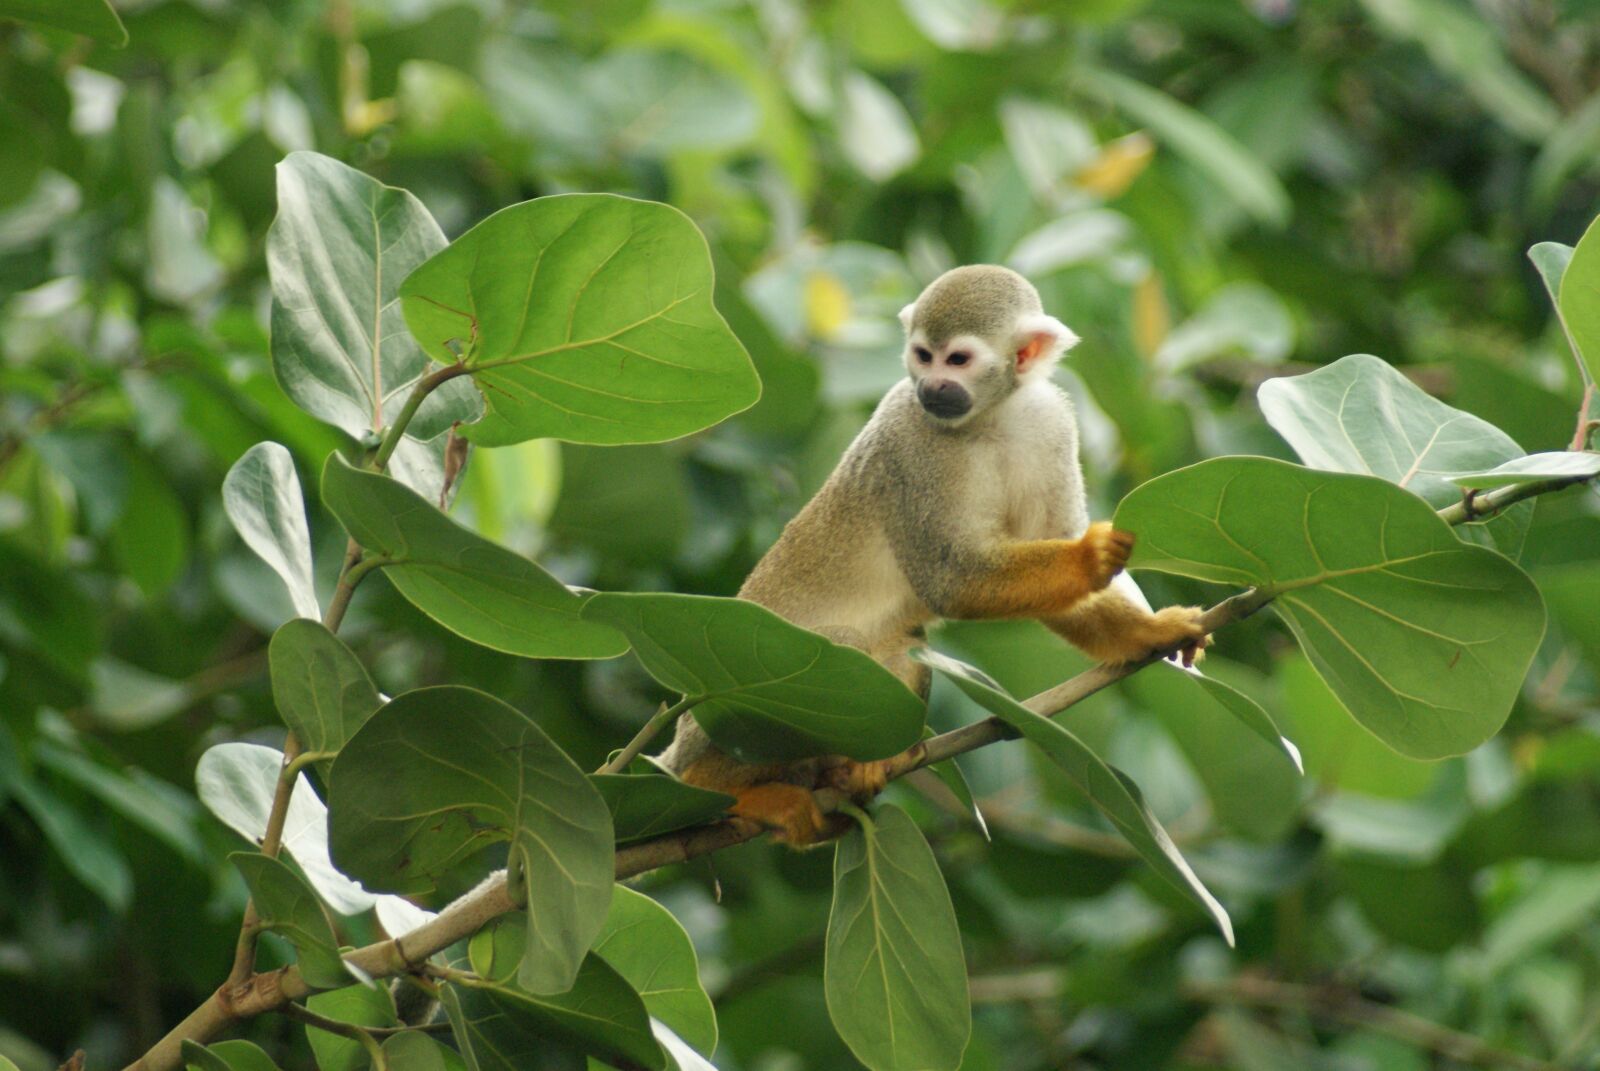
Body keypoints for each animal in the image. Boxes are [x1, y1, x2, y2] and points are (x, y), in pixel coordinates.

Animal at [657, 265, 1209, 844]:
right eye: (923, 355)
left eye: (958, 359)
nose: (932, 387)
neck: (991, 418)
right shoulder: (910, 442)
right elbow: (952, 581)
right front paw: (1089, 555)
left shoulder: (1050, 423)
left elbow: (1053, 576)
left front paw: (1148, 632)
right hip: (717, 707)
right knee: (841, 648)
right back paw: (726, 790)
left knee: (905, 645)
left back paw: (848, 772)